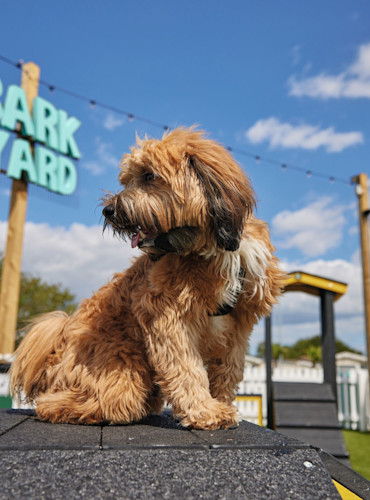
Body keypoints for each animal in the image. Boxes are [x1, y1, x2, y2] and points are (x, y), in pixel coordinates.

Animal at [10, 128, 284, 430]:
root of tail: (54, 352)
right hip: (120, 366)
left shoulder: (238, 323)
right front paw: (205, 411)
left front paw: (220, 404)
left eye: (149, 176)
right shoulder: (167, 314)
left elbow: (229, 368)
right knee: (74, 403)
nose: (108, 211)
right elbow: (186, 367)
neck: (211, 248)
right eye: (127, 179)